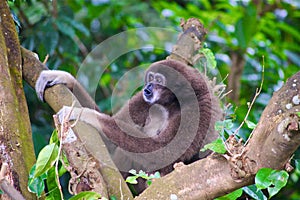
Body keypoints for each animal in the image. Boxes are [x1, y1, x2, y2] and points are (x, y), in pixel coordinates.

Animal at [35, 59, 223, 192]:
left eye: (158, 80)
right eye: (150, 78)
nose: (148, 88)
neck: (172, 104)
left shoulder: (198, 110)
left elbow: (162, 153)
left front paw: (82, 113)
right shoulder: (142, 100)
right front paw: (65, 78)